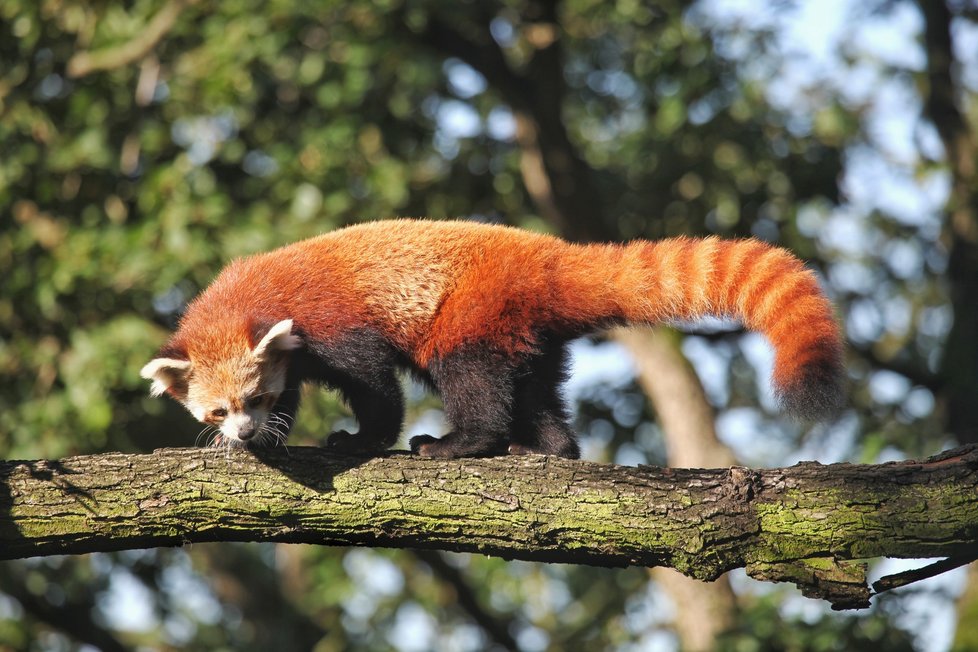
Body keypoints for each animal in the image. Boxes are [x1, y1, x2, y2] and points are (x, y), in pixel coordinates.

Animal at [141, 219, 844, 458]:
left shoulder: (330, 324)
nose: (243, 432)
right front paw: (265, 441)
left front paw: (360, 440)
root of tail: (547, 254)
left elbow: (374, 385)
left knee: (473, 379)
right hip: (526, 331)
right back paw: (551, 448)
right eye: (219, 411)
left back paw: (461, 443)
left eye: (251, 400)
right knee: (536, 389)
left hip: (472, 311)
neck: (243, 300)